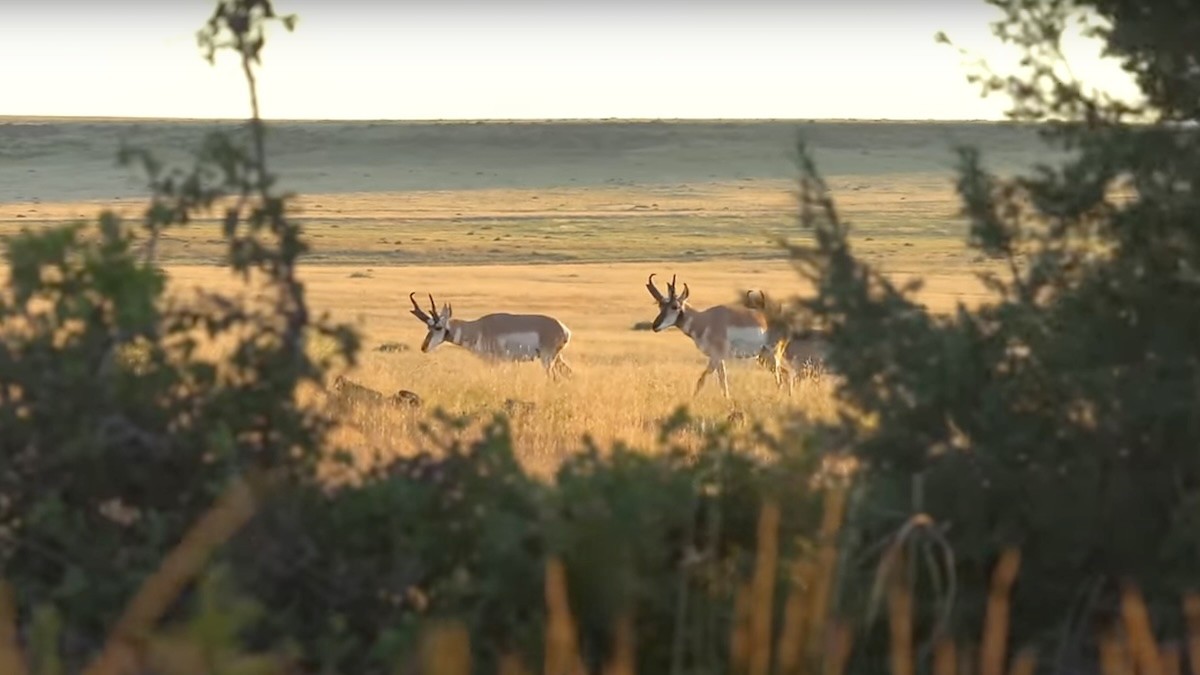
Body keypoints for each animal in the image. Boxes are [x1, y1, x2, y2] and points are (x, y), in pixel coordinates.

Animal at [408, 293, 573, 379]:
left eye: (438, 327)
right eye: (428, 327)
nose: (423, 347)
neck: (478, 328)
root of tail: (563, 328)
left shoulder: (496, 362)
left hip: (547, 360)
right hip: (557, 359)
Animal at [644, 274, 786, 398]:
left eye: (675, 306)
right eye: (660, 305)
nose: (655, 326)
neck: (704, 320)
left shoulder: (716, 357)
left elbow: (702, 380)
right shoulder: (718, 359)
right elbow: (723, 381)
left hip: (772, 355)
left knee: (780, 377)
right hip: (763, 357)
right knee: (785, 373)